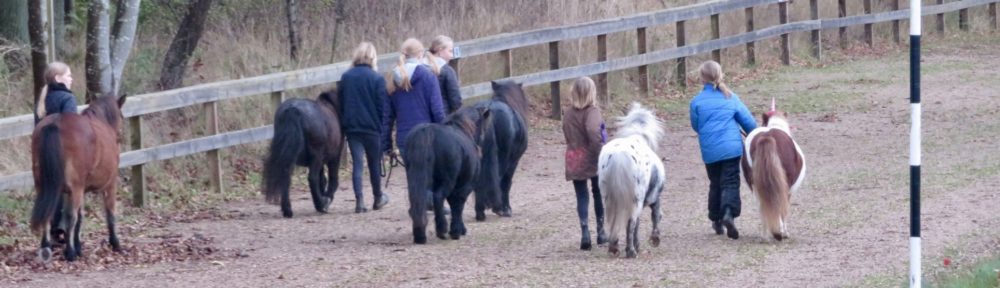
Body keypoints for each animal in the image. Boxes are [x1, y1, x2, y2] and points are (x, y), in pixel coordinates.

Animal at [29, 94, 127, 260]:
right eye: (121, 116)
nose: (120, 136)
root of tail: (56, 122)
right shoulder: (110, 184)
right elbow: (110, 212)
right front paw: (115, 243)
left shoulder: (81, 190)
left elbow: (81, 217)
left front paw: (79, 246)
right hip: (75, 189)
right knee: (70, 216)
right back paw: (70, 252)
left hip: (44, 187)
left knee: (49, 213)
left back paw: (47, 246)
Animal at [470, 80, 528, 219]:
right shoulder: (514, 162)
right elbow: (506, 183)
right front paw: (506, 208)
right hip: (503, 160)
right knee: (499, 180)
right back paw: (499, 208)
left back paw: (480, 212)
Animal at [740, 99, 808, 241]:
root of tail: (768, 136)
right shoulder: (788, 191)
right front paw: (785, 232)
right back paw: (779, 232)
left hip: (755, 185)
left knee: (762, 205)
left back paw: (765, 235)